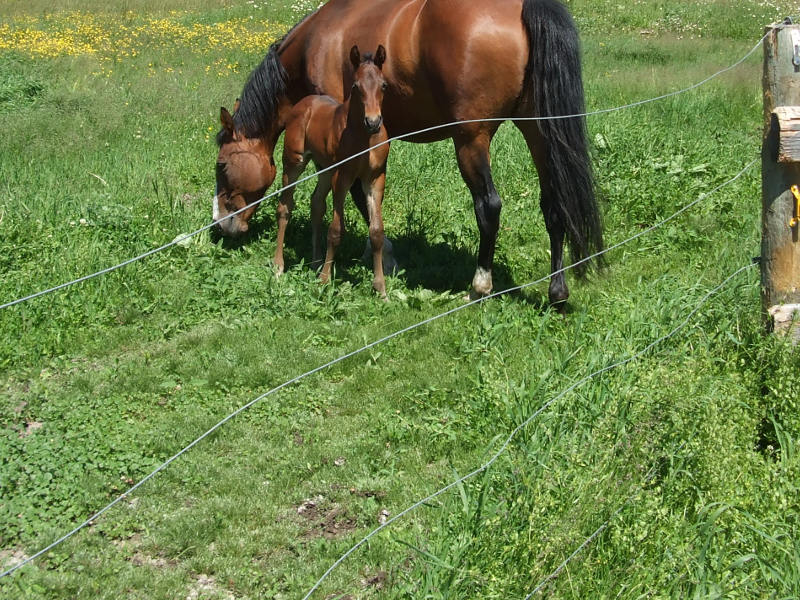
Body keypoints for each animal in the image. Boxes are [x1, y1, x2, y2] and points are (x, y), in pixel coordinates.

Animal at [212, 0, 600, 302]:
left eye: (221, 166)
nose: (220, 224)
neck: (316, 42)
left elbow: (357, 197)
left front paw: (384, 257)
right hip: (538, 131)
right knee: (553, 204)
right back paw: (557, 291)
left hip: (471, 140)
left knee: (489, 206)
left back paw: (479, 286)